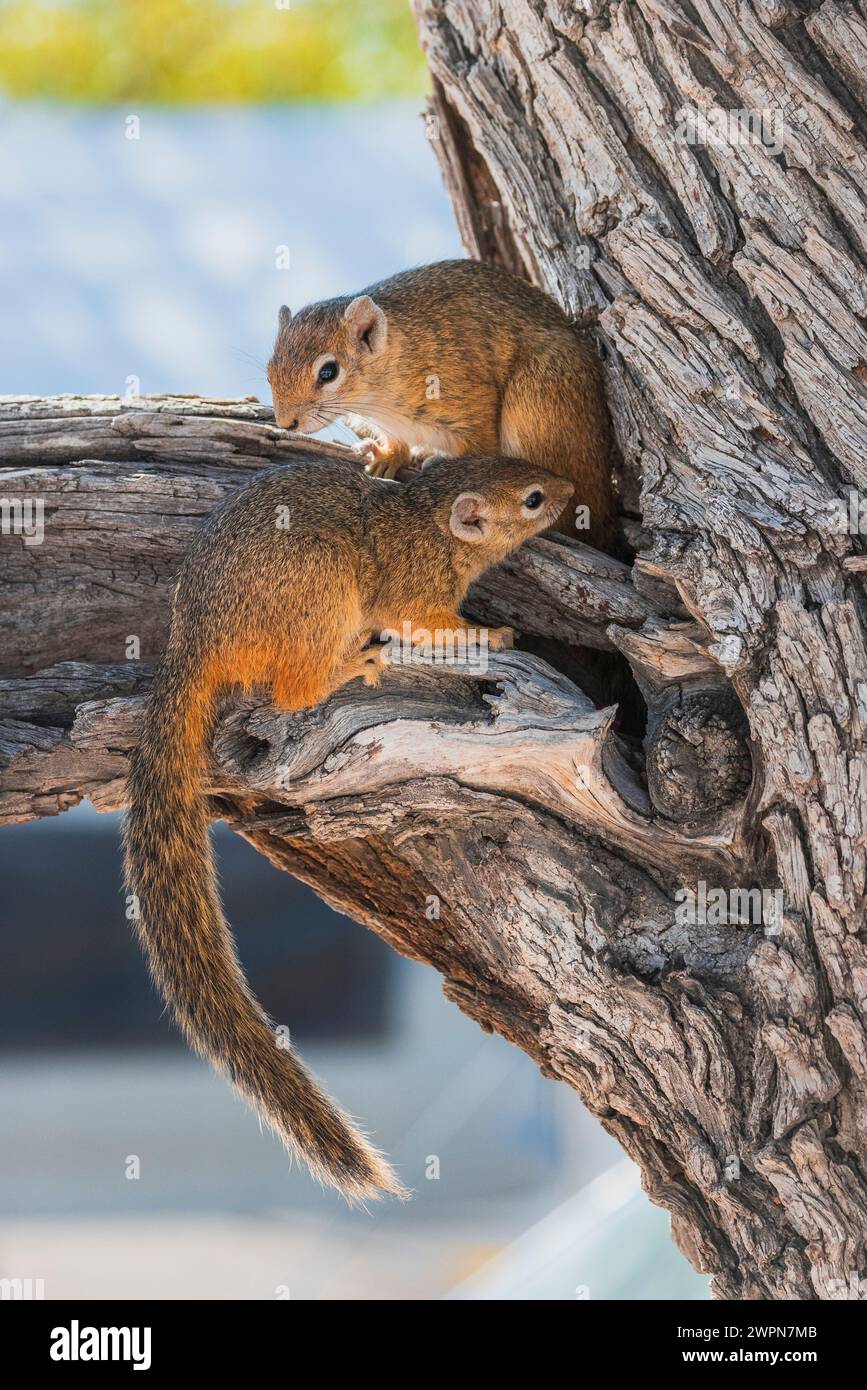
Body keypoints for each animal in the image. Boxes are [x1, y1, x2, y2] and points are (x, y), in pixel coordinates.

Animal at [122, 450, 569, 1200]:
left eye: (519, 464)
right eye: (532, 498)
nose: (568, 493)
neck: (427, 517)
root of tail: (196, 643)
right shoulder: (415, 590)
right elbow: (429, 624)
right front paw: (491, 633)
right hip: (319, 594)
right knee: (293, 688)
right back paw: (347, 665)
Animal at [268, 258, 614, 550]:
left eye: (329, 372)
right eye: (270, 370)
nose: (286, 423)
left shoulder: (470, 401)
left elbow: (482, 450)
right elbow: (396, 443)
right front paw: (387, 457)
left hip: (538, 398)